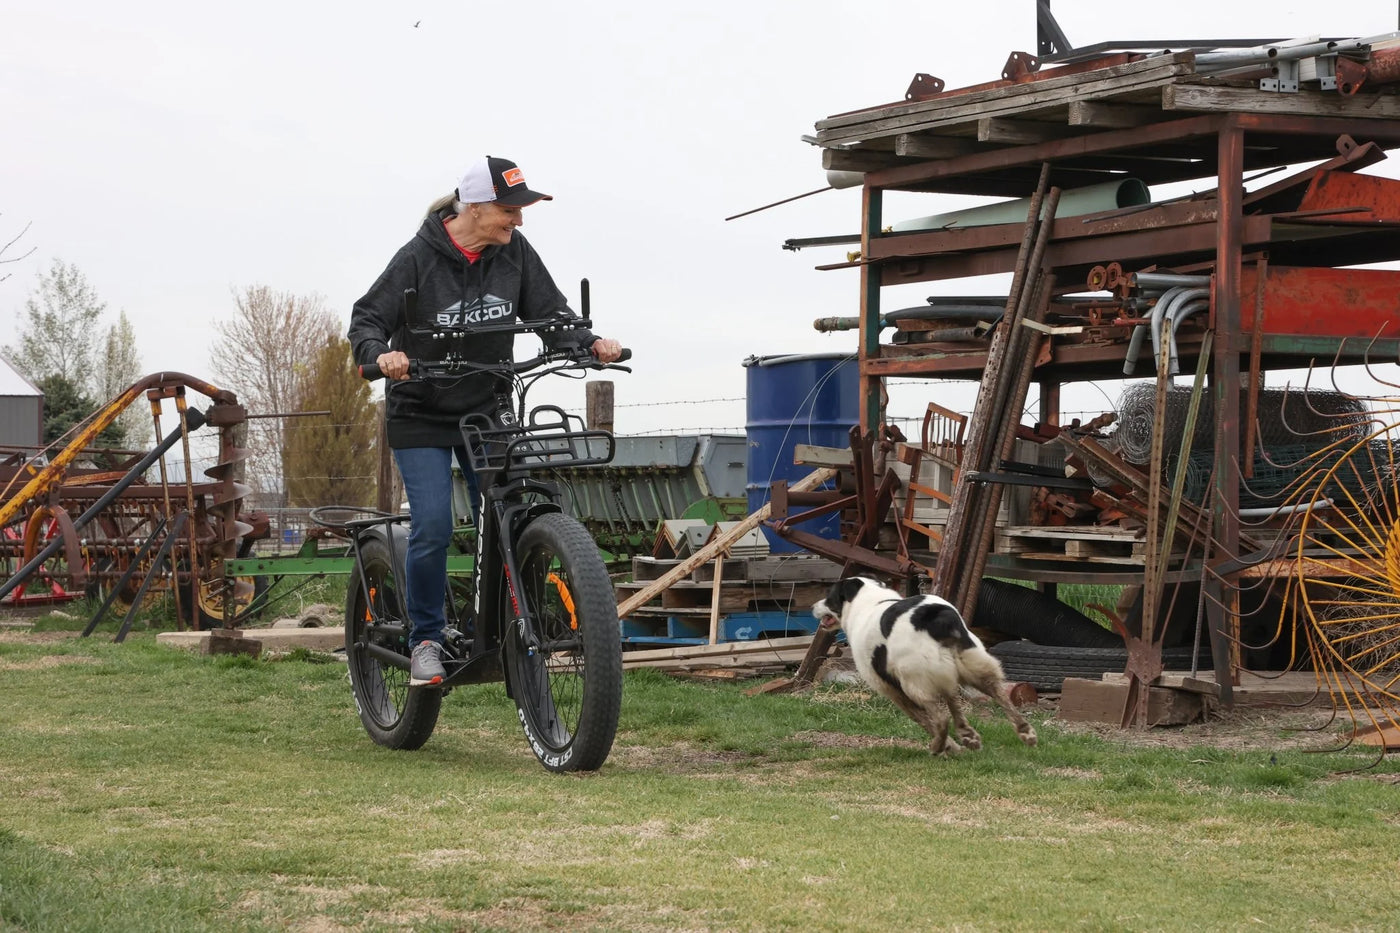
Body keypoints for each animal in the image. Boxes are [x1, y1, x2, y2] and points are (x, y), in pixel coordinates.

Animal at [817, 577, 1036, 750]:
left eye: (829, 597)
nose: (813, 606)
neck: (870, 599)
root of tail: (934, 614)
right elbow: (952, 703)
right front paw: (964, 736)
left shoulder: (891, 689)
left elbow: (922, 718)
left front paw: (951, 745)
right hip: (972, 664)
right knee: (996, 694)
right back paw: (1020, 731)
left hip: (914, 682)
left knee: (941, 718)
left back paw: (939, 746)